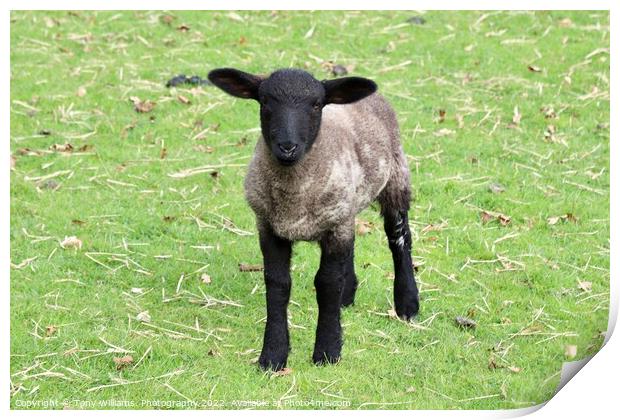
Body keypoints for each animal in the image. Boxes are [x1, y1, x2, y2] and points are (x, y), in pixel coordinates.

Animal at [209, 66, 422, 370]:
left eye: (316, 104)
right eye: (265, 101)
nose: (287, 147)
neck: (295, 197)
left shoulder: (334, 227)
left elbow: (327, 283)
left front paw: (327, 350)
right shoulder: (269, 227)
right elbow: (278, 284)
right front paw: (273, 355)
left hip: (395, 178)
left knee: (399, 238)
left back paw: (407, 303)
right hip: (345, 206)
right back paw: (348, 295)